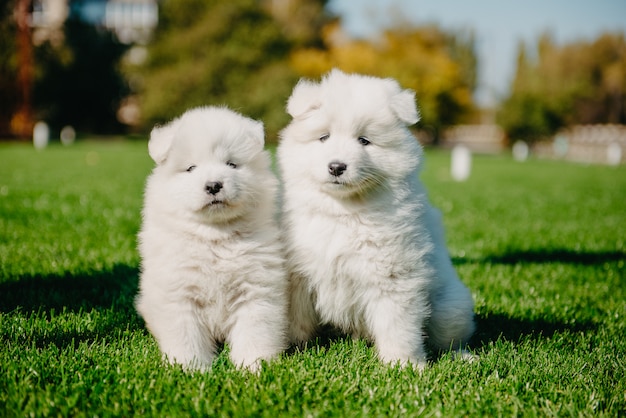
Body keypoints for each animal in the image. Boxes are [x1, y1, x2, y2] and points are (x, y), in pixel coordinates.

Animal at [136, 106, 288, 370]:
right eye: (191, 168)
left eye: (232, 164)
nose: (214, 185)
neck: (215, 237)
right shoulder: (180, 293)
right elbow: (186, 335)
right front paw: (189, 367)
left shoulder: (256, 287)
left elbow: (255, 331)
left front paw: (254, 366)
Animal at [278, 68, 472, 366]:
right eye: (324, 137)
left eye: (364, 141)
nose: (337, 166)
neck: (343, 211)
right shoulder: (298, 276)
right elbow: (297, 319)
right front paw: (293, 349)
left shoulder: (393, 273)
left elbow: (397, 324)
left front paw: (405, 364)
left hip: (450, 307)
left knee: (449, 338)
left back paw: (463, 356)